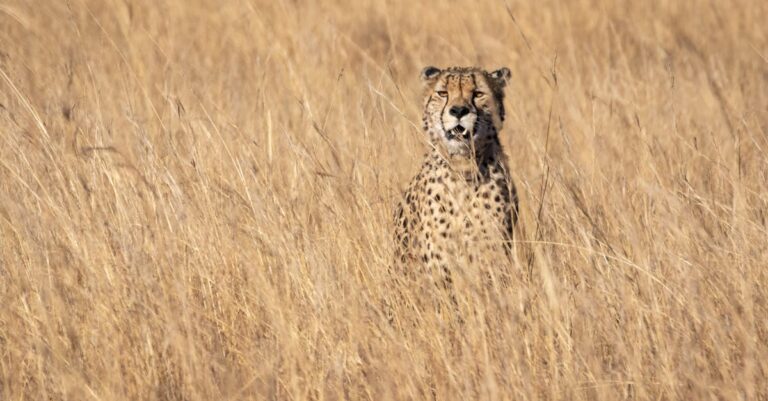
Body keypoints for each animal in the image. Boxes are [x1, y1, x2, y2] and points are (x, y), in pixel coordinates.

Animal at [392, 66, 520, 284]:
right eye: (443, 93)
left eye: (478, 93)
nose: (459, 111)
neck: (463, 167)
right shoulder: (439, 268)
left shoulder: (491, 256)